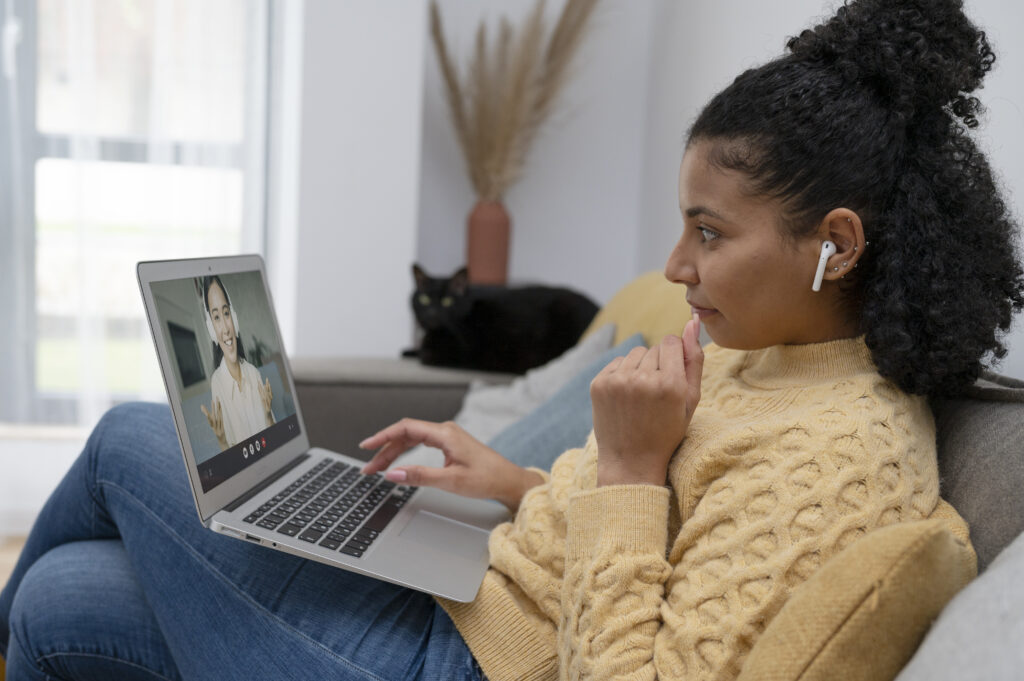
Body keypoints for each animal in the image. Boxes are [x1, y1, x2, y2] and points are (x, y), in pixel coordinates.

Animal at [405, 264, 598, 372]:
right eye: (424, 299)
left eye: (447, 301)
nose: (432, 314)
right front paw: (409, 351)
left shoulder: (464, 352)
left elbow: (427, 354)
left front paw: (419, 351)